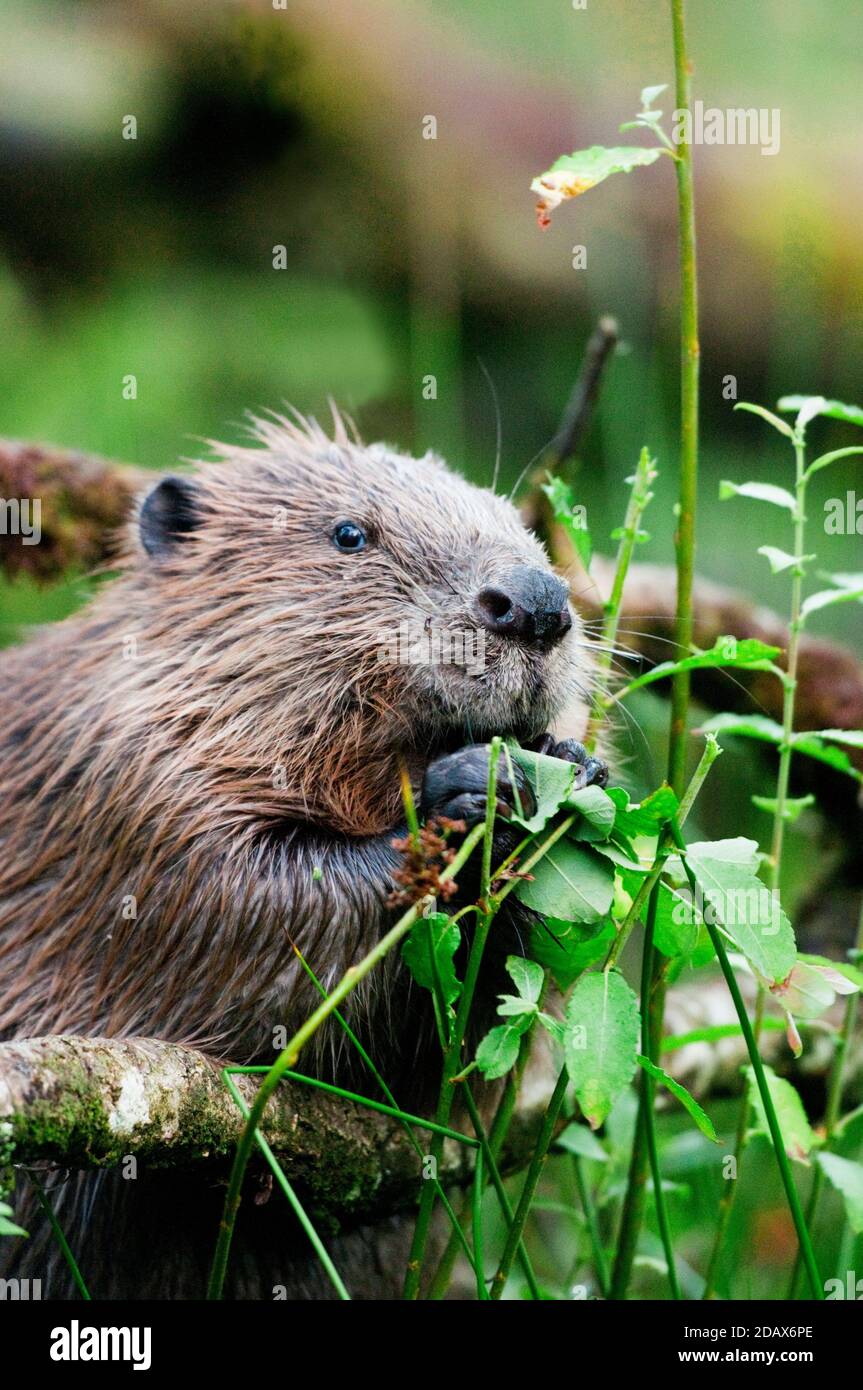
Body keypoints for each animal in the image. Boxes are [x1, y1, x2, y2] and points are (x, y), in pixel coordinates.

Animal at [0, 405, 605, 1295]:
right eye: (349, 534)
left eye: (519, 524)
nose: (533, 603)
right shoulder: (129, 787)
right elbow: (248, 911)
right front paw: (471, 788)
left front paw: (571, 764)